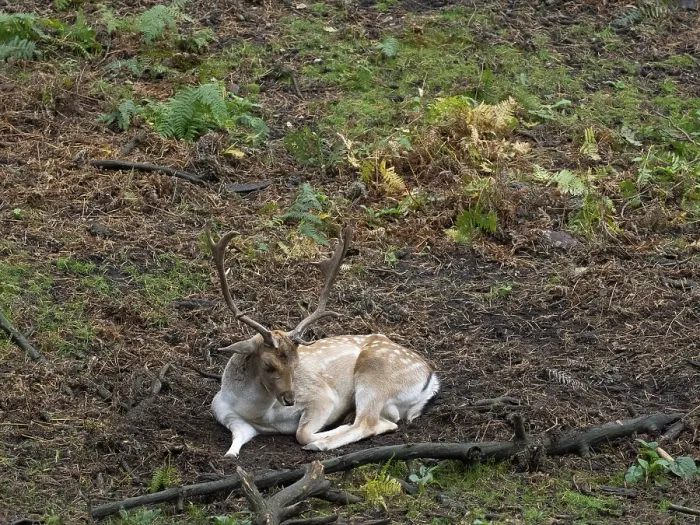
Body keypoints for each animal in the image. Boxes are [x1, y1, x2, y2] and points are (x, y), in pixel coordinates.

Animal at [205, 224, 440, 457]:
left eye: (296, 364)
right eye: (268, 364)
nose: (290, 399)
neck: (257, 413)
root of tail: (432, 379)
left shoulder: (322, 397)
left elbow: (302, 433)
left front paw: (323, 435)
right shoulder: (223, 411)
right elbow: (237, 438)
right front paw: (230, 454)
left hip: (376, 375)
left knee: (367, 422)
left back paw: (324, 441)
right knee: (387, 421)